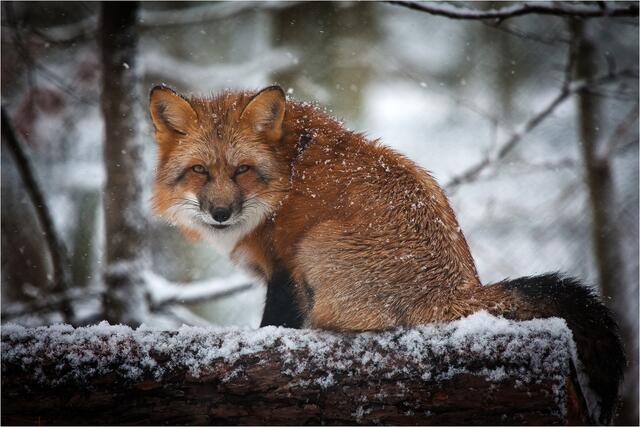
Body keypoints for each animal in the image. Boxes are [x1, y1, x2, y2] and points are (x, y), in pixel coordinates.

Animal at [149, 85, 625, 424]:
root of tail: (458, 292)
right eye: (199, 171)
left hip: (315, 246)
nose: (220, 213)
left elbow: (273, 326)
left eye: (242, 170)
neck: (284, 173)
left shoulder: (284, 266)